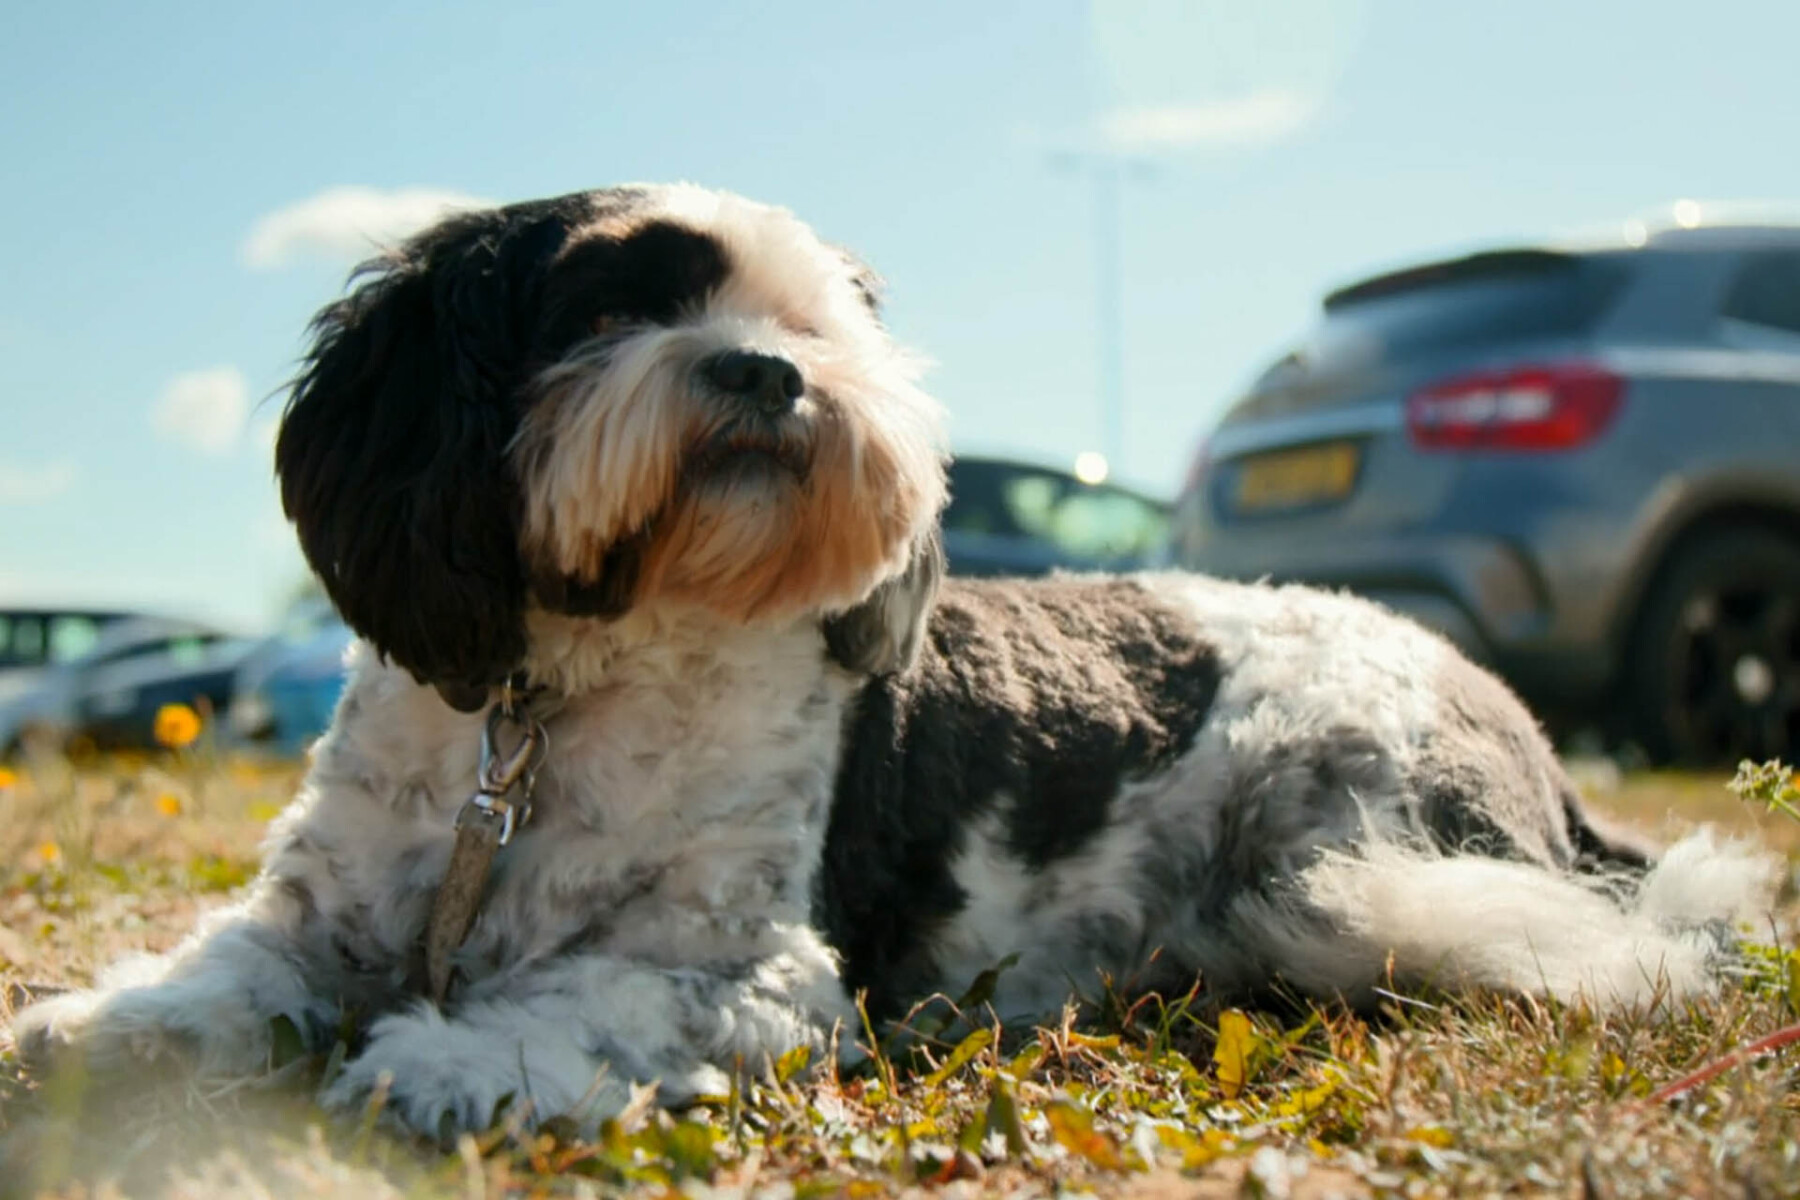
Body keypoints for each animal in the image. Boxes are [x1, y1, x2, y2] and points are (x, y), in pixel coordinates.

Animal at [10, 185, 1771, 1137]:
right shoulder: (326, 914)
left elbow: (594, 992)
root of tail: (1520, 735)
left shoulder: (755, 970)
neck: (561, 699)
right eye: (607, 305)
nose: (763, 372)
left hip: (1344, 844)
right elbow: (232, 972)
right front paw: (105, 1026)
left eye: (817, 328)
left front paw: (456, 1053)